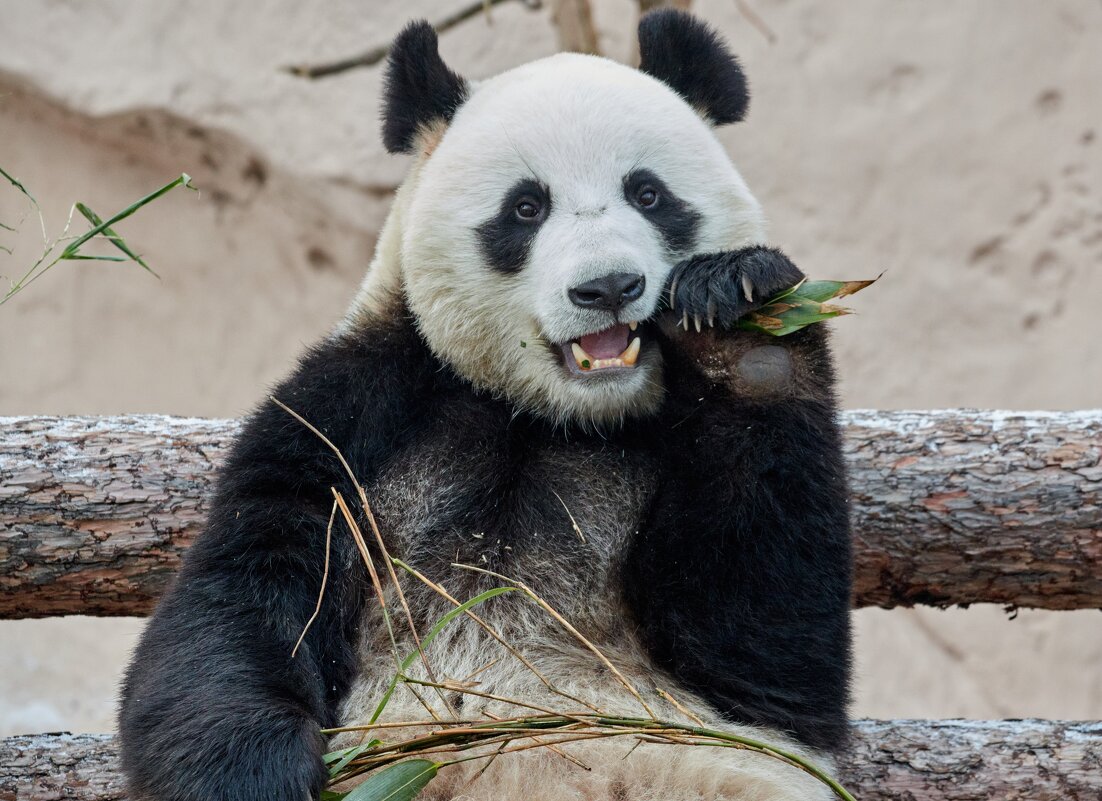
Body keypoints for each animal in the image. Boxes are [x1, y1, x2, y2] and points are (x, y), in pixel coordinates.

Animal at [120, 7, 846, 801]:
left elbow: (765, 655)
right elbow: (242, 591)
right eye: (526, 208)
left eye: (649, 194)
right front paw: (257, 773)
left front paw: (737, 324)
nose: (608, 287)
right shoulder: (354, 410)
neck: (550, 414)